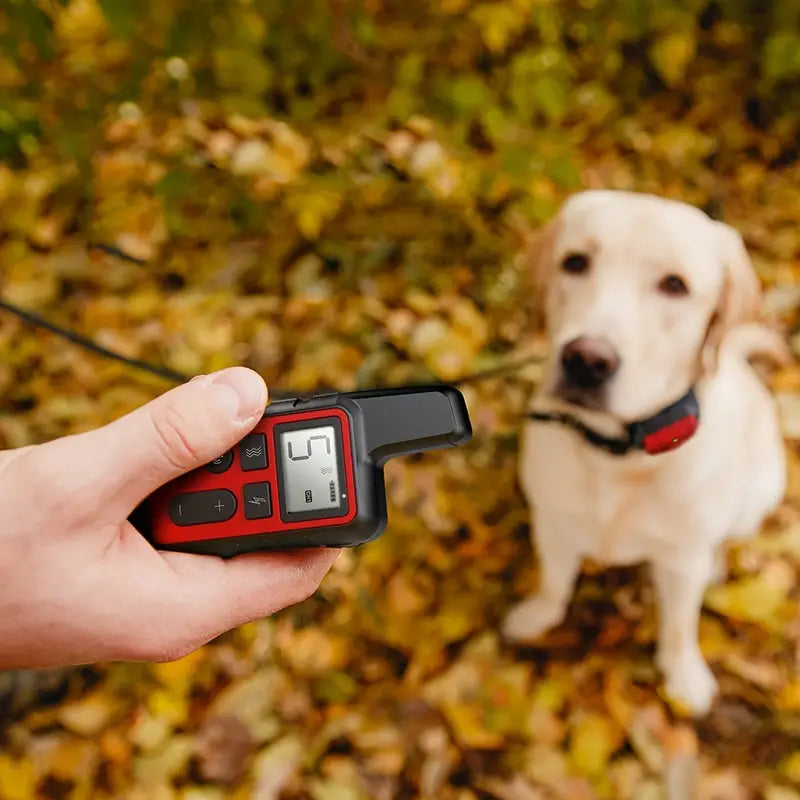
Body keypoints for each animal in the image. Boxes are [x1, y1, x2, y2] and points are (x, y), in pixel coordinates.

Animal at [506, 191, 788, 716]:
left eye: (675, 285)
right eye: (575, 262)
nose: (586, 360)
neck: (619, 456)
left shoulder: (680, 561)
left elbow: (679, 625)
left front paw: (684, 675)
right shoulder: (552, 527)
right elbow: (554, 584)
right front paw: (537, 617)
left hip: (760, 492)